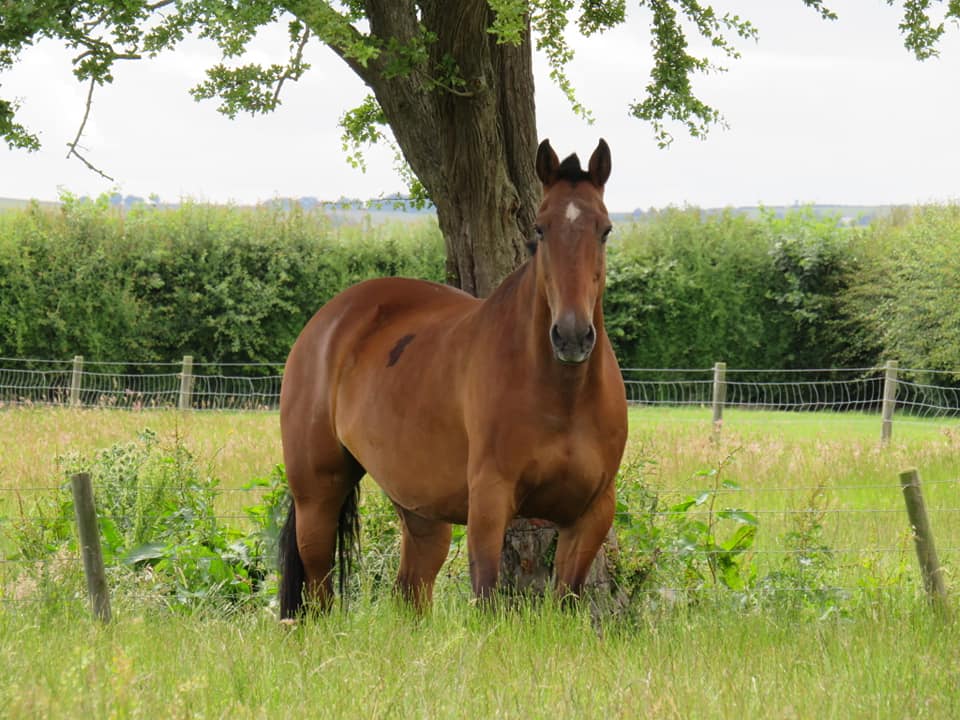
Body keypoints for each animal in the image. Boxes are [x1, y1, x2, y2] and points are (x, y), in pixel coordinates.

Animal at [278, 141, 632, 620]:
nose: (572, 335)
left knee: (410, 592)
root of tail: (326, 322)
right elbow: (486, 597)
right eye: (539, 230)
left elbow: (565, 601)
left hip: (421, 512)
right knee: (319, 592)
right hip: (317, 495)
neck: (564, 397)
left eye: (605, 230)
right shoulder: (489, 502)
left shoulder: (590, 514)